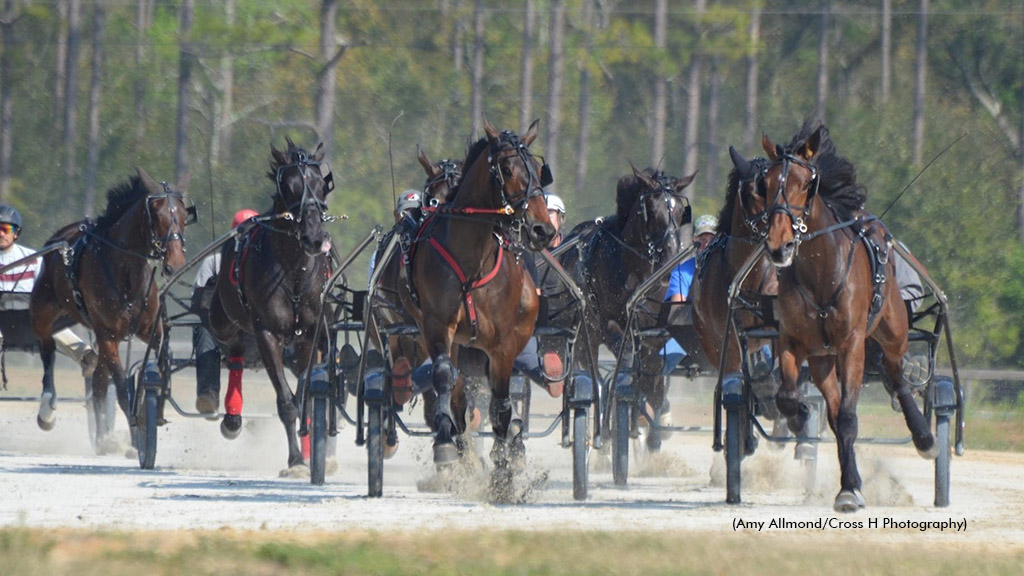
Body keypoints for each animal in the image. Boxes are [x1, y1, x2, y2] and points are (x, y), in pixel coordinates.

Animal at [31, 168, 190, 450]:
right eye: (157, 216)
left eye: (183, 216)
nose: (176, 263)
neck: (125, 274)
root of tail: (61, 237)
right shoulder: (108, 334)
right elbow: (123, 387)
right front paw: (136, 433)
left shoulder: (150, 329)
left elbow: (161, 360)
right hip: (44, 309)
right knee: (47, 348)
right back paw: (48, 409)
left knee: (98, 379)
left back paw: (102, 436)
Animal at [206, 139, 331, 471]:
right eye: (289, 186)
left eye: (321, 185)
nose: (314, 237)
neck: (294, 271)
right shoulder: (267, 334)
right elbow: (287, 401)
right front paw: (296, 460)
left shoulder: (310, 335)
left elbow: (306, 393)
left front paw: (310, 452)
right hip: (223, 320)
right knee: (233, 349)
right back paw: (232, 417)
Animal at [401, 116, 561, 475]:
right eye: (506, 168)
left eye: (537, 168)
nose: (543, 229)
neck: (471, 258)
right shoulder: (437, 326)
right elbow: (444, 379)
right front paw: (446, 443)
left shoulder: (502, 344)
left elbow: (501, 406)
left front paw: (504, 462)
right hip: (457, 342)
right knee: (457, 393)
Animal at [561, 163, 696, 450]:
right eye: (652, 210)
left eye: (681, 210)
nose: (672, 255)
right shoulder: (610, 325)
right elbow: (623, 366)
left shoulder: (655, 332)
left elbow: (654, 377)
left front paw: (652, 425)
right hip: (587, 335)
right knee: (594, 375)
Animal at [757, 121, 937, 510]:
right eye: (766, 184)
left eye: (806, 183)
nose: (779, 245)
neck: (820, 272)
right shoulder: (793, 341)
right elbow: (789, 397)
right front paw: (799, 420)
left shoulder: (851, 344)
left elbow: (850, 417)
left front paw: (850, 490)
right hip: (823, 359)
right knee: (835, 408)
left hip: (892, 332)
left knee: (895, 374)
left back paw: (923, 437)